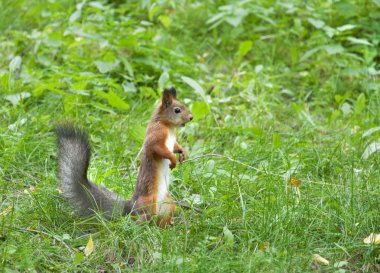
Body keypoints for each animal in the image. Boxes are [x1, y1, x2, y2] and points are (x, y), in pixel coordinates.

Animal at [55, 87, 193, 225]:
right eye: (177, 110)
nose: (191, 117)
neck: (169, 127)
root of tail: (131, 206)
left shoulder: (171, 140)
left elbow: (175, 146)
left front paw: (183, 152)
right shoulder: (155, 135)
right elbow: (158, 148)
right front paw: (173, 159)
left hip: (168, 204)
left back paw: (169, 225)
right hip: (149, 203)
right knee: (143, 218)